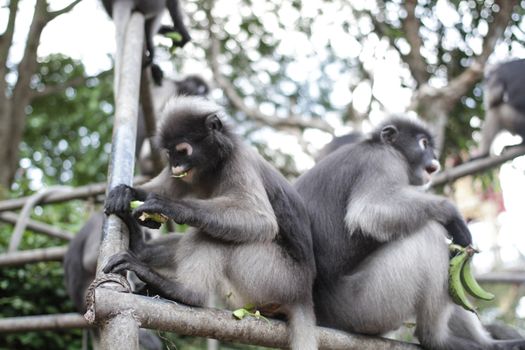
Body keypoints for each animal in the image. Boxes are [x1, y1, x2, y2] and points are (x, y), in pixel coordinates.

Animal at [294, 118, 524, 350]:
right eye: (423, 144)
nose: (434, 158)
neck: (376, 145)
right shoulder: (382, 160)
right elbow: (368, 211)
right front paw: (452, 215)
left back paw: (490, 343)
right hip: (364, 305)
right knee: (428, 234)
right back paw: (437, 339)